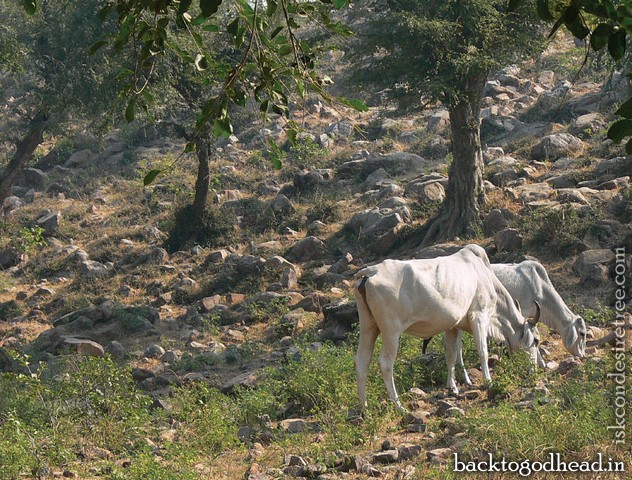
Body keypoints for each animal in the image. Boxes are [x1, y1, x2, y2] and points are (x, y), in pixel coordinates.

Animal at [356, 246, 540, 410]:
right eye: (536, 341)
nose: (536, 369)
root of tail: (370, 272)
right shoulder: (479, 317)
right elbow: (483, 351)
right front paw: (488, 382)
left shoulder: (453, 326)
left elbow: (451, 355)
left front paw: (453, 388)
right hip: (391, 331)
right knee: (385, 363)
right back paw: (398, 406)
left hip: (368, 327)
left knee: (361, 362)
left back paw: (364, 408)